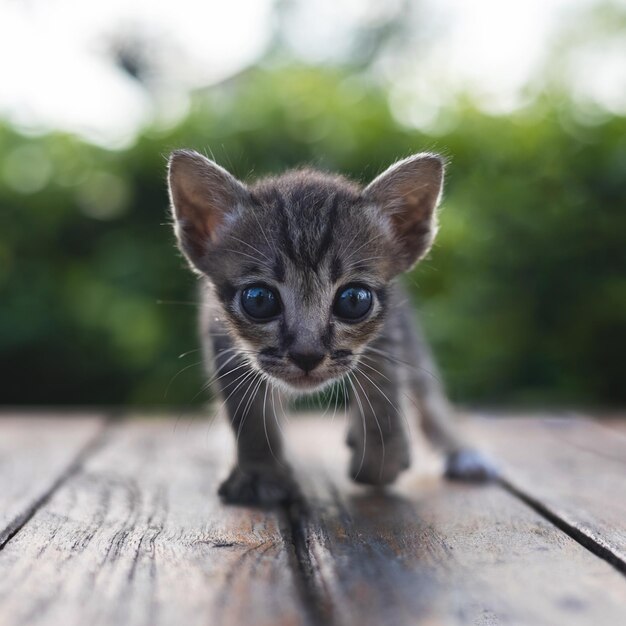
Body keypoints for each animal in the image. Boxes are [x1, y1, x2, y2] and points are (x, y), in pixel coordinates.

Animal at [167, 151, 498, 508]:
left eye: (353, 300)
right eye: (259, 299)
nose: (307, 355)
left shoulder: (389, 328)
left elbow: (384, 384)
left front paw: (382, 457)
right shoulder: (220, 334)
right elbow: (248, 409)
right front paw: (259, 471)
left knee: (427, 394)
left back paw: (460, 451)